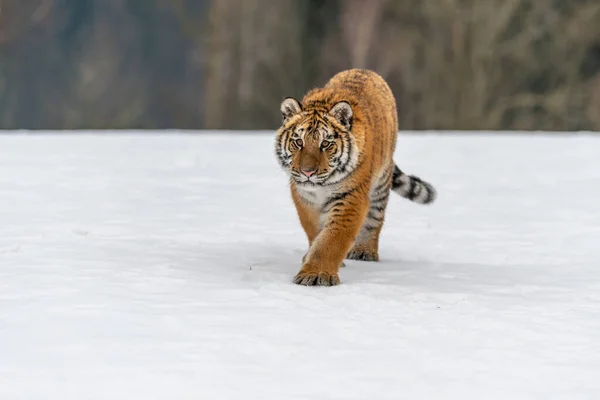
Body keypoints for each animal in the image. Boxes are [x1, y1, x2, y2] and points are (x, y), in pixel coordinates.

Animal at [274, 69, 436, 288]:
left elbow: (332, 239)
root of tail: (365, 71)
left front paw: (316, 274)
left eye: (325, 144)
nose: (308, 172)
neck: (322, 186)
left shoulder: (350, 197)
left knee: (374, 220)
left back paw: (364, 251)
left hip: (380, 185)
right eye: (298, 142)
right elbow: (315, 232)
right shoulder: (304, 197)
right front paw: (312, 257)